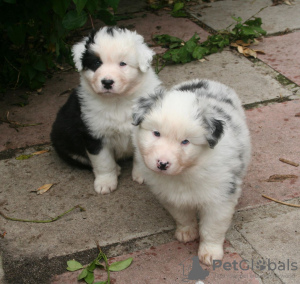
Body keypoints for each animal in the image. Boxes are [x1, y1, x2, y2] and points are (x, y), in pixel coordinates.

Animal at [50, 26, 162, 194]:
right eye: (97, 63)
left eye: (122, 63)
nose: (107, 82)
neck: (117, 101)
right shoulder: (94, 134)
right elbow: (103, 162)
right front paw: (106, 183)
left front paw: (142, 175)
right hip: (64, 139)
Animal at [131, 79, 251, 266]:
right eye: (156, 133)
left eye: (185, 141)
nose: (162, 164)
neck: (187, 171)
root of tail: (208, 81)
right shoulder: (171, 196)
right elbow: (182, 216)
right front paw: (187, 232)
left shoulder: (219, 199)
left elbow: (212, 228)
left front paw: (210, 253)